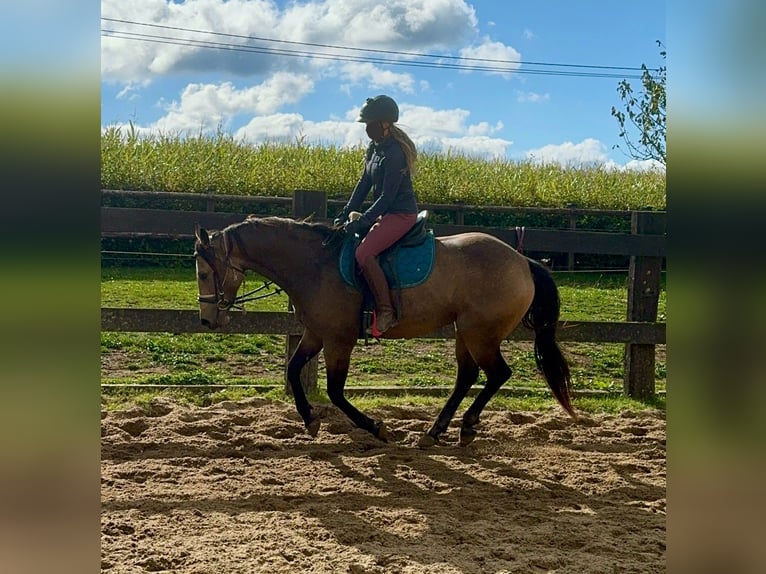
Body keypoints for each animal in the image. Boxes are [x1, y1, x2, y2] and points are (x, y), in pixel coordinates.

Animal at [194, 216, 576, 450]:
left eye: (203, 272)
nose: (207, 320)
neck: (315, 265)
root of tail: (522, 261)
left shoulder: (338, 340)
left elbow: (335, 392)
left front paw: (375, 427)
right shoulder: (316, 334)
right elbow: (293, 370)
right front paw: (309, 419)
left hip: (480, 333)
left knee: (497, 374)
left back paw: (466, 426)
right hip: (464, 332)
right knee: (467, 376)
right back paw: (436, 431)